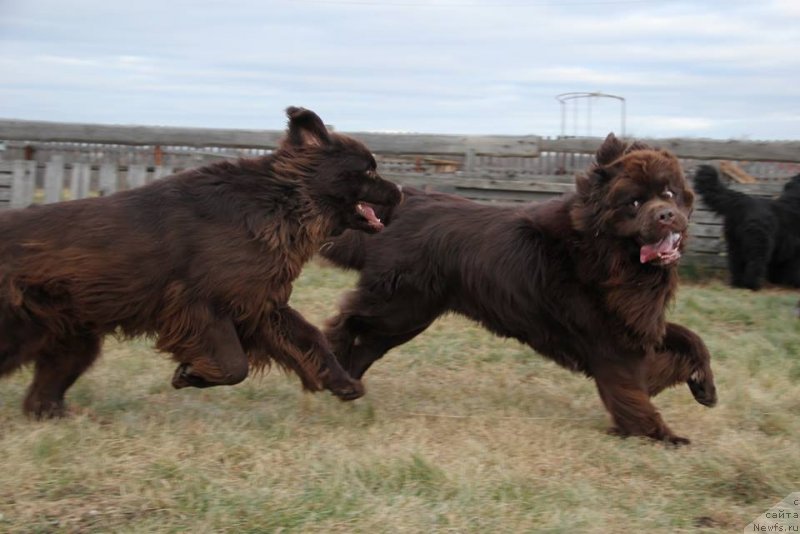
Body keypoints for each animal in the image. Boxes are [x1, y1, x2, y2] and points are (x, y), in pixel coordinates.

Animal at [0, 108, 400, 418]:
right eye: (368, 171)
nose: (398, 191)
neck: (280, 203)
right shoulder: (201, 305)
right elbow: (234, 366)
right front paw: (191, 375)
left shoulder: (260, 305)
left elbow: (310, 340)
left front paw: (344, 383)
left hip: (72, 339)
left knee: (43, 395)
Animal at [322, 135, 720, 448]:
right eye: (634, 203)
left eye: (668, 193)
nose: (666, 215)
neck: (606, 254)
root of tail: (403, 205)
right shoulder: (610, 342)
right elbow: (632, 395)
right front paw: (662, 436)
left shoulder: (635, 322)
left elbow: (692, 340)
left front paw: (705, 389)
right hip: (400, 306)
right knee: (346, 321)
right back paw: (333, 363)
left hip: (410, 316)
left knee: (365, 344)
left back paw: (347, 385)